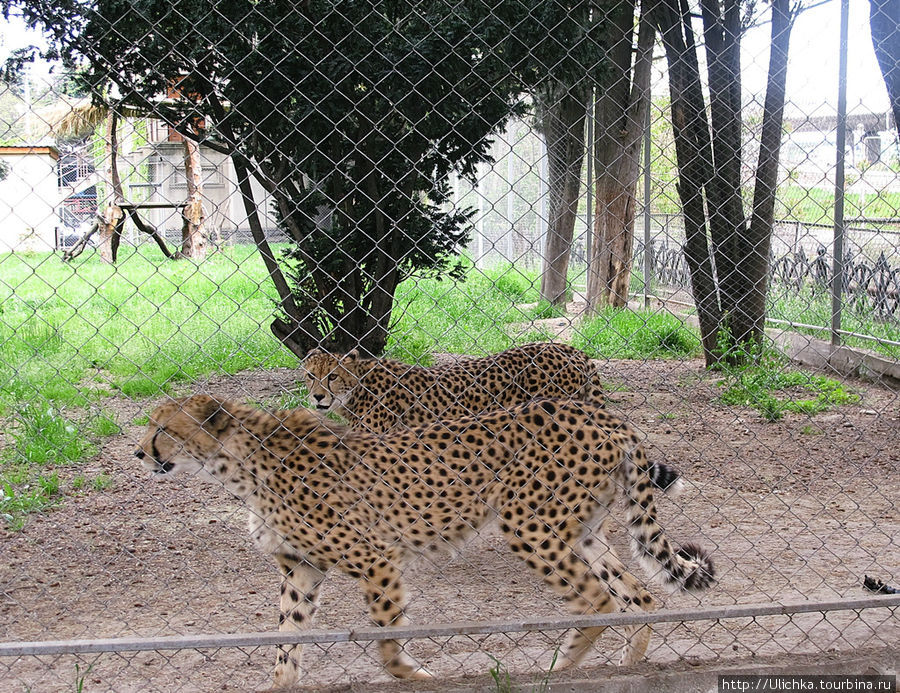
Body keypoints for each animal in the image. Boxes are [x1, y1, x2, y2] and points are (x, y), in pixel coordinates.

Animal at [135, 394, 712, 688]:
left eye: (162, 428)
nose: (140, 453)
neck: (240, 464)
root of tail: (603, 413)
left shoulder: (376, 561)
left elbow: (388, 647)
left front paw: (417, 672)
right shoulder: (301, 568)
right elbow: (286, 645)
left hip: (527, 525)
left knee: (595, 601)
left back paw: (558, 672)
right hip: (582, 531)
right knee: (638, 596)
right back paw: (628, 665)